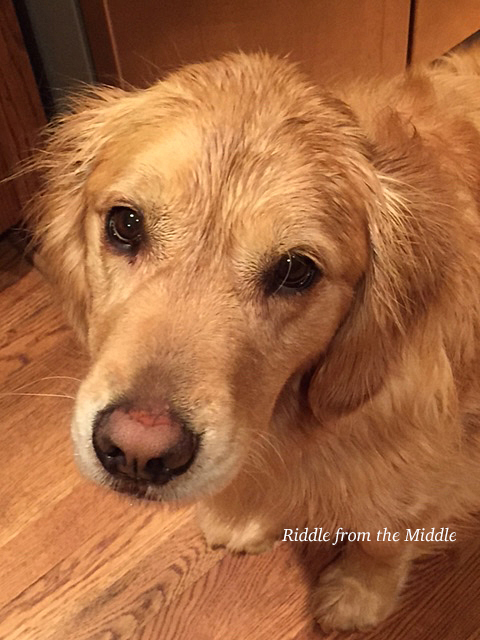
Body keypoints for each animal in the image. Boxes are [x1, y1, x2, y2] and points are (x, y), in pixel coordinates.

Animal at [30, 47, 480, 631]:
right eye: (125, 224)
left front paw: (361, 593)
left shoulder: (434, 451)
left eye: (294, 271)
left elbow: (388, 529)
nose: (137, 452)